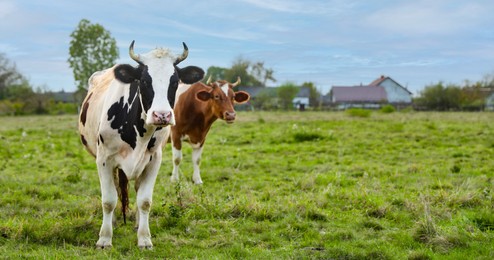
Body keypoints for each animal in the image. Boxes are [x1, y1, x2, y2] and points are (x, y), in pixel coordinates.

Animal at [78, 39, 205, 249]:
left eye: (175, 81)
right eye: (144, 81)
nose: (162, 115)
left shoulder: (154, 160)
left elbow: (144, 201)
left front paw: (144, 238)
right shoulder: (104, 160)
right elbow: (108, 200)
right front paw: (104, 238)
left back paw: (138, 223)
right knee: (115, 189)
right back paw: (114, 222)